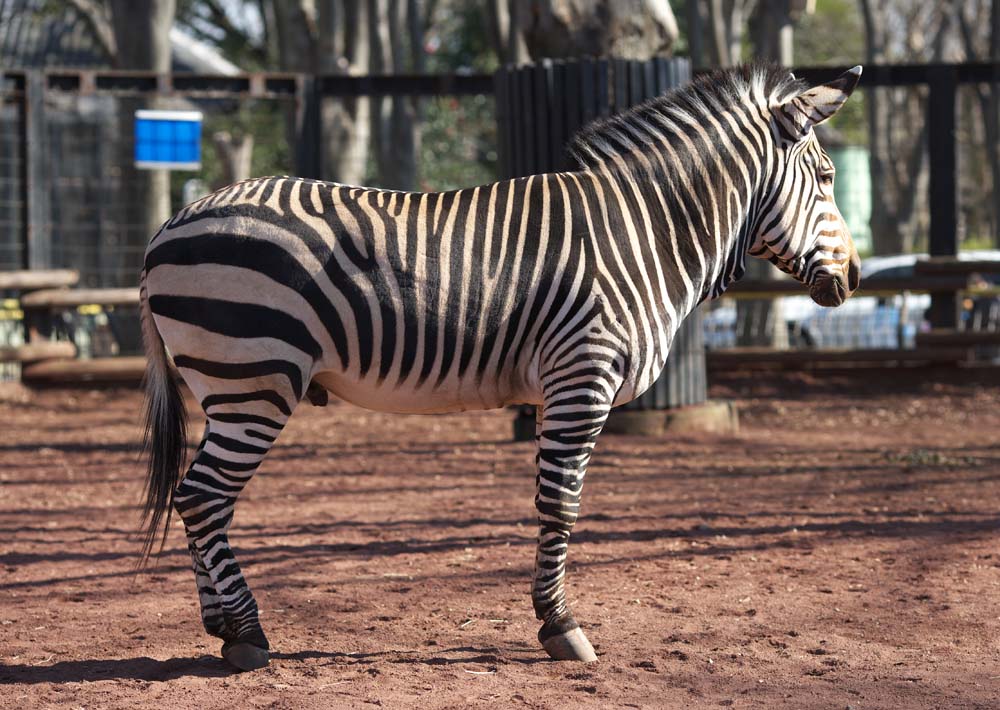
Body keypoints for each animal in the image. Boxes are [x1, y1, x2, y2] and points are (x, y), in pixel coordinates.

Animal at [139, 62, 860, 672]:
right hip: (255, 378)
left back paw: (223, 628)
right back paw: (247, 634)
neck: (642, 232)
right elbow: (561, 503)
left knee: (197, 498)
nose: (854, 276)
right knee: (203, 496)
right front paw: (560, 626)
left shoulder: (556, 388)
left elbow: (551, 499)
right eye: (826, 178)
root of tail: (168, 224)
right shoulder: (582, 376)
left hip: (232, 386)